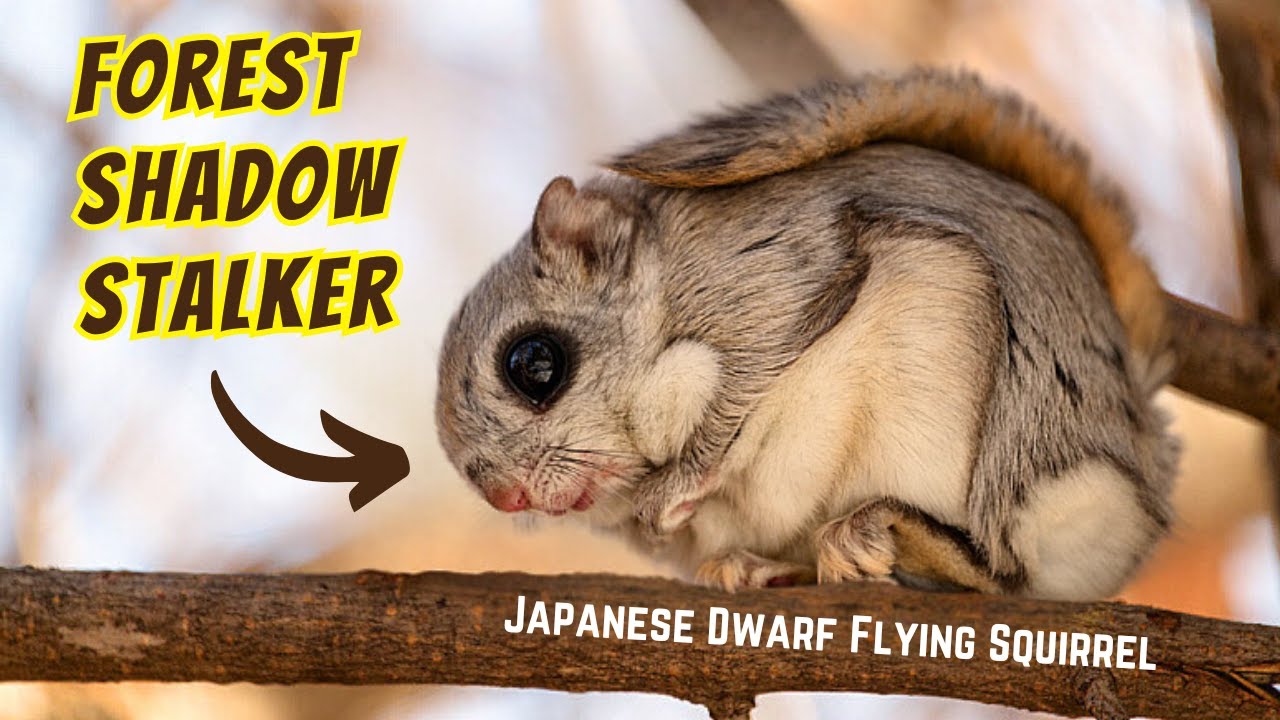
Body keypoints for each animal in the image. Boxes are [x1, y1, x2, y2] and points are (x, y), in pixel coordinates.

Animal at [434, 68, 1180, 600]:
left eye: (535, 364)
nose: (506, 497)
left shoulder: (767, 278)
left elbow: (744, 384)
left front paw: (676, 486)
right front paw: (716, 555)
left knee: (1005, 573)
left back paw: (880, 530)